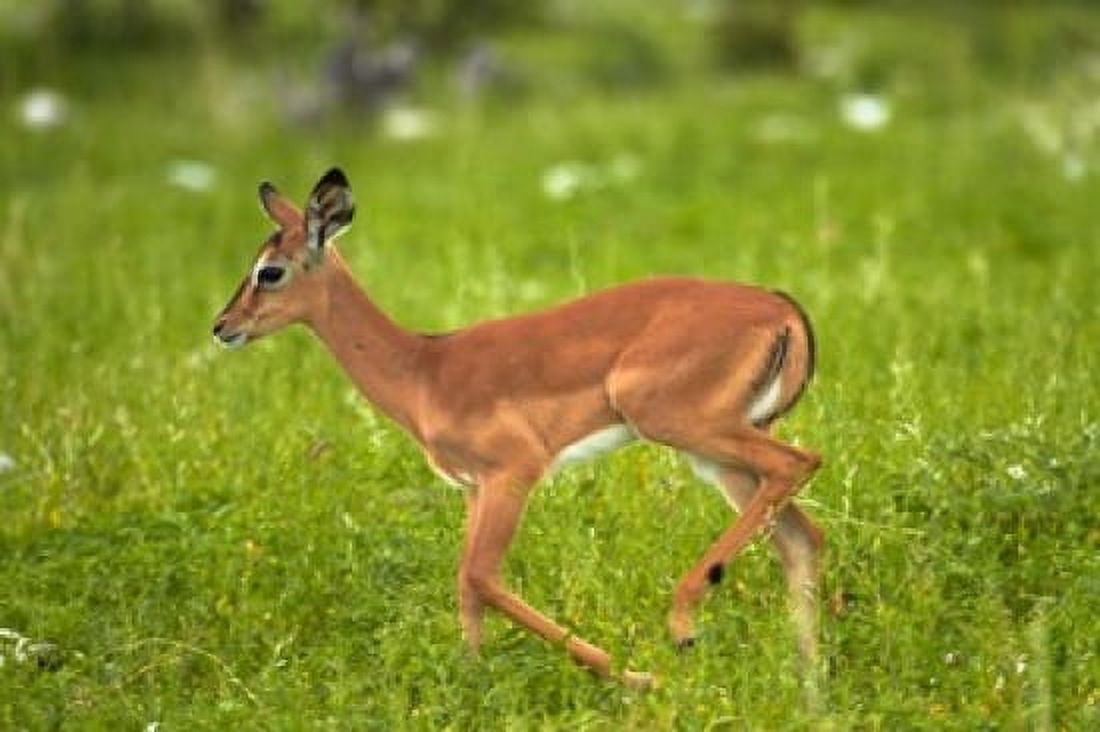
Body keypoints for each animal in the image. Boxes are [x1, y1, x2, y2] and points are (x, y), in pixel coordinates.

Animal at [213, 169, 823, 689]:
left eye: (269, 270)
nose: (223, 327)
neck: (424, 369)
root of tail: (781, 309)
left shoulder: (514, 471)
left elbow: (481, 577)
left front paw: (629, 674)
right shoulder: (473, 489)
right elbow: (465, 585)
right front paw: (471, 678)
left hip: (686, 428)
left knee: (801, 463)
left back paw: (683, 628)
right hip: (721, 458)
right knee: (802, 536)